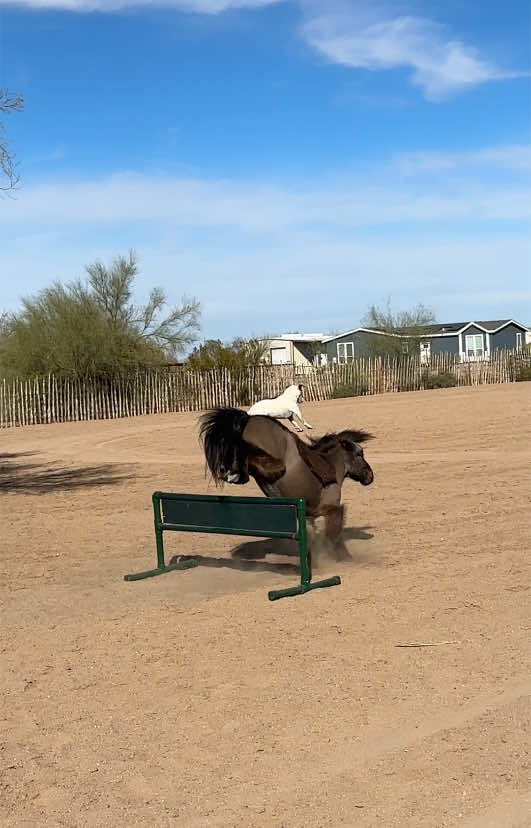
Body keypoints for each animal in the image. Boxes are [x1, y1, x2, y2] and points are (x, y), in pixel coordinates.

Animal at [200, 408, 374, 564]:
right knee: (257, 459)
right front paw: (345, 558)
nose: (370, 476)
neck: (330, 466)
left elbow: (312, 538)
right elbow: (334, 534)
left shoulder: (308, 517)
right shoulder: (331, 509)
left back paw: (232, 473)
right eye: (359, 454)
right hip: (267, 457)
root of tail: (249, 418)